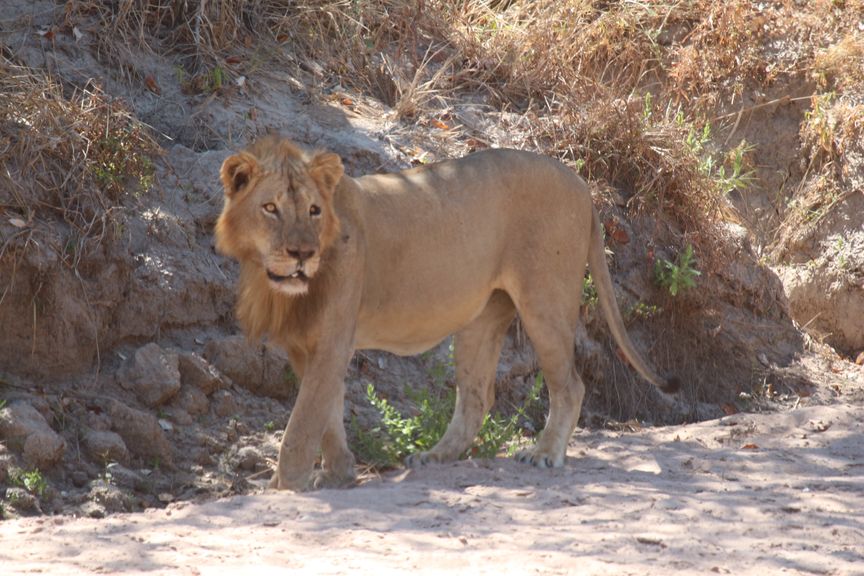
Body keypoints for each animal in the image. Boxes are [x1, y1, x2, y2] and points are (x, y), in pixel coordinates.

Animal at [213, 135, 680, 490]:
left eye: (314, 210)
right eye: (270, 208)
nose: (301, 254)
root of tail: (581, 183)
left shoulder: (333, 338)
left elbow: (301, 425)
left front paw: (284, 487)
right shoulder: (304, 346)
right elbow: (326, 415)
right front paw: (339, 475)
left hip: (544, 299)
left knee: (570, 385)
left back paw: (545, 454)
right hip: (483, 316)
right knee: (477, 396)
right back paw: (437, 456)